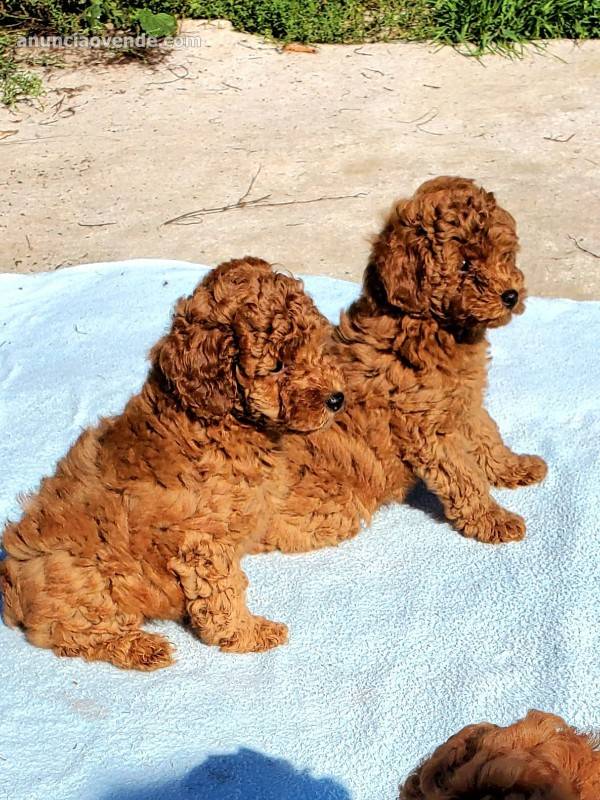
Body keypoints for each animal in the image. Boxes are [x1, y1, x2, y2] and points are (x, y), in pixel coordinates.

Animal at [0, 256, 344, 668]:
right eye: (277, 366)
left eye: (315, 347)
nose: (337, 398)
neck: (224, 423)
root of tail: (10, 583)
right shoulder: (203, 543)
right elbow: (225, 596)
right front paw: (251, 634)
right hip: (84, 578)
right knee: (74, 635)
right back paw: (141, 647)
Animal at [260, 175, 548, 552]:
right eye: (464, 265)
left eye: (505, 255)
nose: (511, 295)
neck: (434, 327)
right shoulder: (426, 428)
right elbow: (464, 475)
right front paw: (492, 519)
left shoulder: (465, 403)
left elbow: (489, 437)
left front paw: (515, 467)